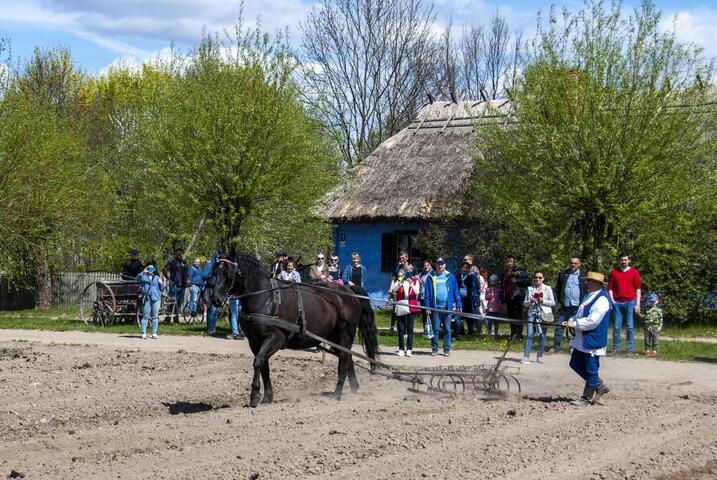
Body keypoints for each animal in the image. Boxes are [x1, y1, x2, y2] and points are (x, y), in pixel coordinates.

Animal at [210, 253, 380, 406]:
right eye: (214, 272)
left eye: (229, 274)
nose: (215, 299)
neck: (266, 299)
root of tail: (348, 291)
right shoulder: (255, 341)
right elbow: (264, 366)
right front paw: (267, 397)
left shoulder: (276, 339)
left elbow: (258, 362)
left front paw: (254, 396)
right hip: (334, 337)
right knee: (347, 358)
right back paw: (353, 387)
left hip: (345, 334)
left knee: (343, 361)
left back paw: (337, 394)